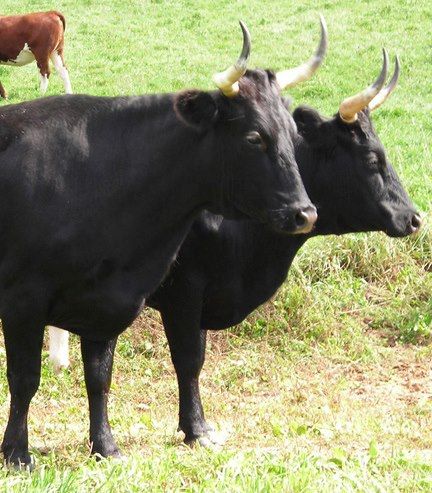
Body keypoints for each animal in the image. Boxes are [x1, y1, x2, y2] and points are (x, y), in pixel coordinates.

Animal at [0, 23, 318, 468]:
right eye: (255, 137)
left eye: (293, 134)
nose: (304, 213)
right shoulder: (23, 298)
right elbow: (25, 378)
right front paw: (16, 453)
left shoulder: (106, 299)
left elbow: (99, 378)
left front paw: (105, 446)